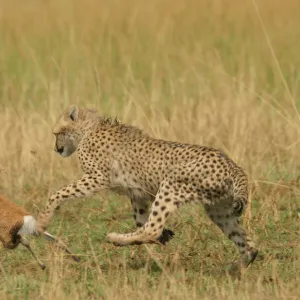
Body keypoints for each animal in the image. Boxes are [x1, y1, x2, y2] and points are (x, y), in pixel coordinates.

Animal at [36, 105, 258, 270]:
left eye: (57, 133)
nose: (57, 149)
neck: (89, 127)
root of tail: (231, 164)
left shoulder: (96, 178)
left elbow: (58, 194)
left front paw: (43, 220)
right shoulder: (138, 195)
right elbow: (140, 220)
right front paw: (164, 236)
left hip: (171, 184)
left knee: (152, 228)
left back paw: (116, 238)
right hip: (219, 209)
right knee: (249, 245)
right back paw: (236, 267)